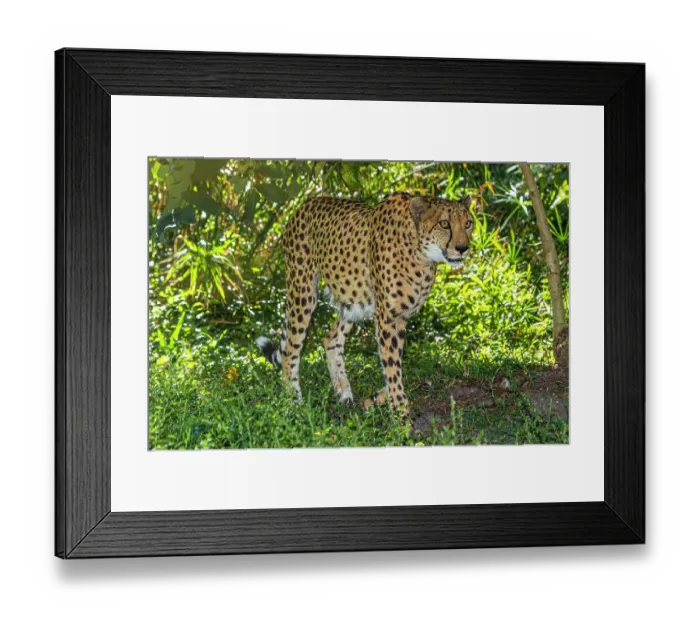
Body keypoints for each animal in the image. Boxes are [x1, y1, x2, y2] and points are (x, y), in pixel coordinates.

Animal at [256, 191, 475, 414]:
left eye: (468, 224)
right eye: (444, 224)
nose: (463, 248)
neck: (420, 254)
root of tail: (306, 202)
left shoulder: (400, 316)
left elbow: (395, 359)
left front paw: (382, 397)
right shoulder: (386, 315)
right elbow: (391, 363)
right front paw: (400, 409)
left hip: (352, 300)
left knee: (331, 339)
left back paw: (344, 393)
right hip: (303, 290)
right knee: (290, 349)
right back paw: (294, 401)